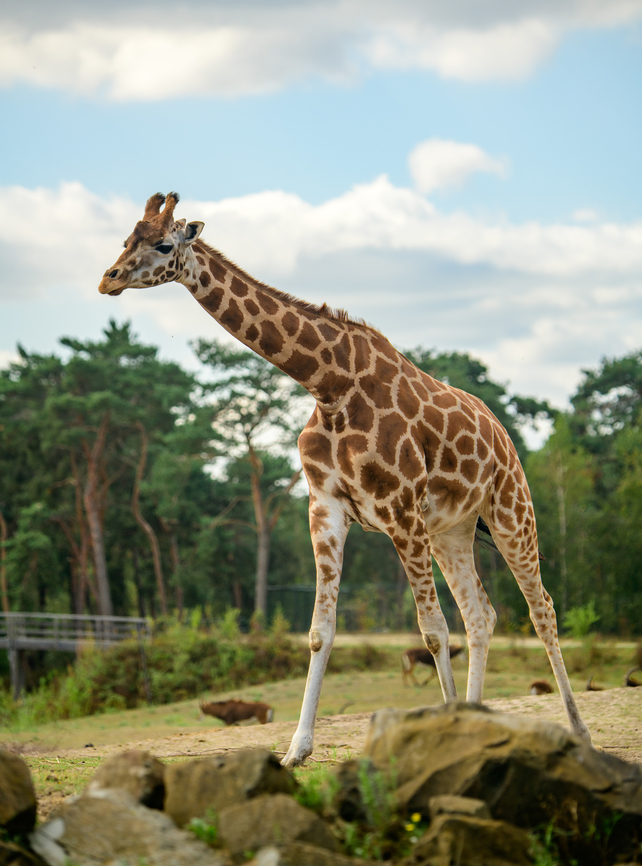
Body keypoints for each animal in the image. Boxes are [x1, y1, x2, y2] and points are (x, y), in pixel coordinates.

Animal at [99, 192, 590, 767]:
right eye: (126, 238)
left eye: (163, 244)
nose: (108, 279)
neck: (329, 384)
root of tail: (503, 434)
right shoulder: (326, 507)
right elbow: (320, 632)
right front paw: (295, 750)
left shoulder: (401, 509)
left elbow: (432, 631)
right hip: (453, 529)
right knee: (481, 614)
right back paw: (476, 722)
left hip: (511, 510)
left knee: (541, 609)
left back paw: (578, 730)